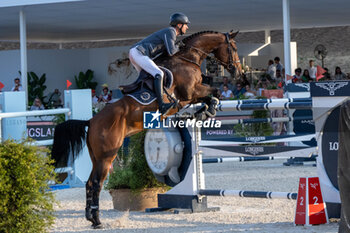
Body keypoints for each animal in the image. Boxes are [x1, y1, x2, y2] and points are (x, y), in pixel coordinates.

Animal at [52, 30, 242, 228]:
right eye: (234, 48)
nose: (239, 72)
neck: (188, 59)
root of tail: (91, 121)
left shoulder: (192, 95)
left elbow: (210, 94)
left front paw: (202, 111)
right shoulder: (190, 93)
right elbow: (214, 92)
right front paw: (207, 110)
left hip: (96, 157)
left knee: (89, 183)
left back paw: (90, 217)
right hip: (106, 156)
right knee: (96, 183)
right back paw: (97, 220)